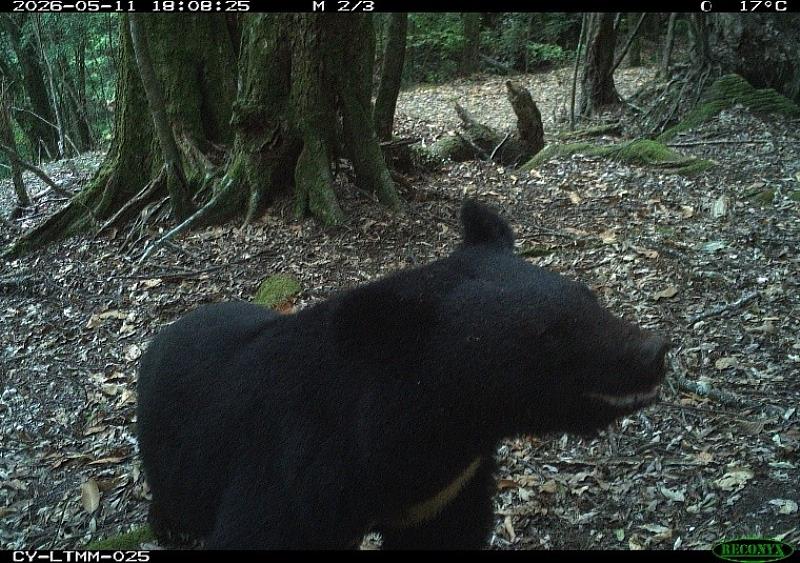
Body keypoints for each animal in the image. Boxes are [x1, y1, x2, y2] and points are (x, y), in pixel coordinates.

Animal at [136, 200, 669, 550]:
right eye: (547, 336)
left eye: (588, 297)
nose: (653, 351)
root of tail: (163, 335)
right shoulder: (290, 472)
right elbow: (257, 530)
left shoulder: (442, 494)